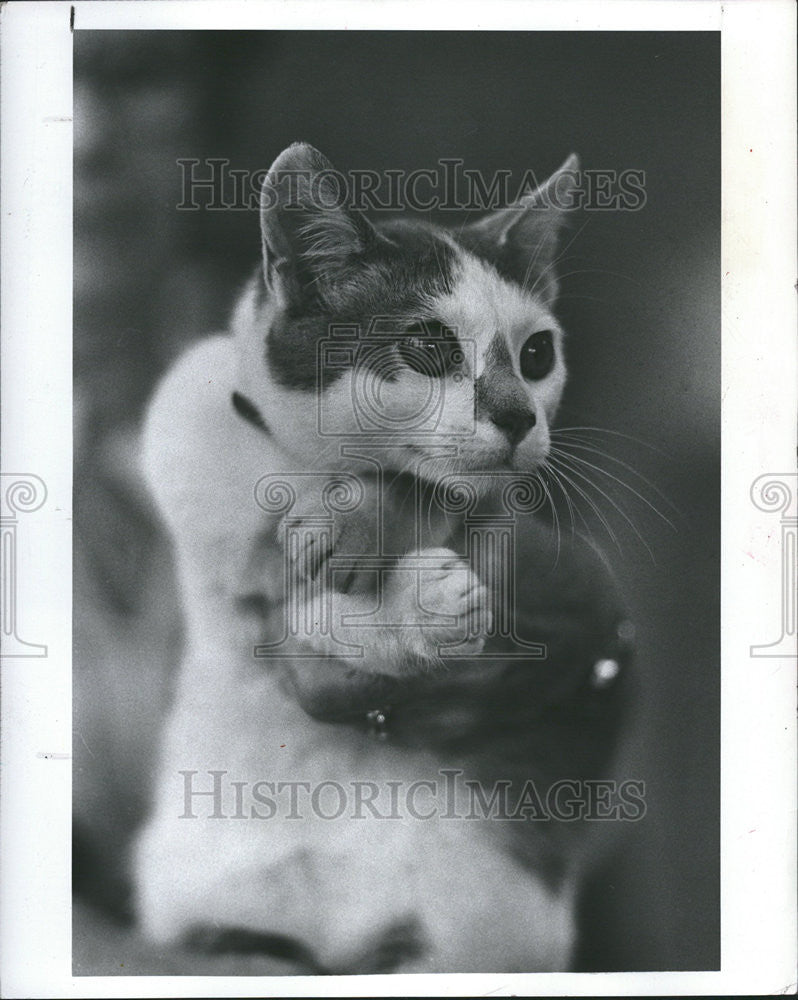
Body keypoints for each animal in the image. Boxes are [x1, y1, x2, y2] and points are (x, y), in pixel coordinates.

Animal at [131, 145, 636, 972]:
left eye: (537, 354)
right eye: (428, 346)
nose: (518, 417)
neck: (311, 472)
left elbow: (427, 489)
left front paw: (370, 528)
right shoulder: (196, 459)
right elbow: (297, 606)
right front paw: (413, 606)